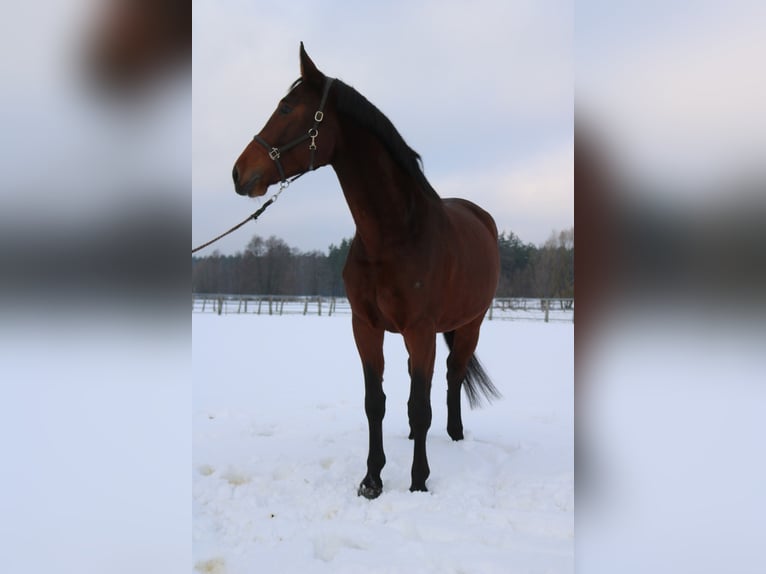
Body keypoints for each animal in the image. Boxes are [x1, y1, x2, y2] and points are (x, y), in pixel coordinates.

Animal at [232, 43, 501, 499]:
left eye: (286, 108)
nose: (238, 173)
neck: (394, 236)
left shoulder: (421, 329)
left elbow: (420, 405)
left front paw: (418, 481)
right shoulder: (366, 326)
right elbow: (376, 403)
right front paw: (372, 479)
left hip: (468, 326)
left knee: (451, 377)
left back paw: (455, 435)